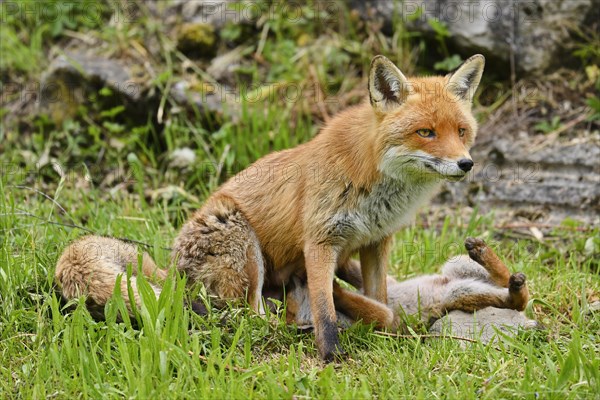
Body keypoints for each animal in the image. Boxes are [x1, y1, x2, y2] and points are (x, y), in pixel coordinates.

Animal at [56, 54, 488, 360]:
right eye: (425, 132)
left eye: (461, 131)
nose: (466, 164)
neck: (374, 182)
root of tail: (174, 268)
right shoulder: (321, 241)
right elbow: (328, 310)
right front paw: (330, 354)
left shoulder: (375, 242)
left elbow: (380, 301)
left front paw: (385, 329)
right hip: (245, 245)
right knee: (247, 316)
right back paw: (291, 323)